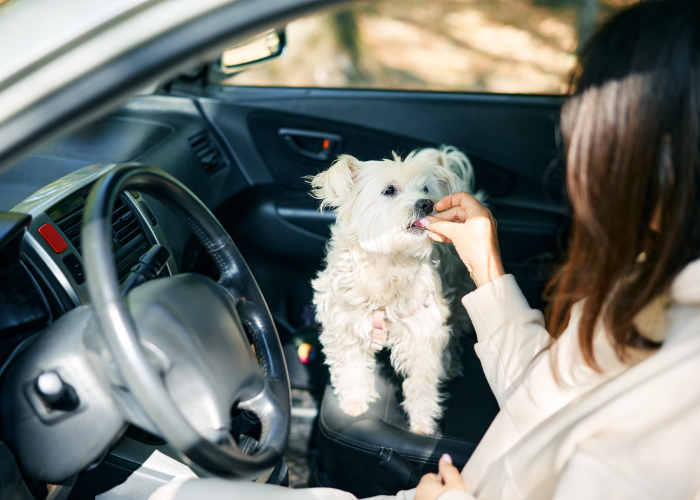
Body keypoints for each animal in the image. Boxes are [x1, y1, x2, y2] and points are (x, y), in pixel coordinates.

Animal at [310, 146, 482, 434]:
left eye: (425, 189)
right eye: (389, 190)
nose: (427, 203)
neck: (388, 261)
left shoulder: (424, 331)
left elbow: (422, 383)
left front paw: (423, 422)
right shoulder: (345, 325)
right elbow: (351, 367)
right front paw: (355, 400)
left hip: (459, 291)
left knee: (456, 329)